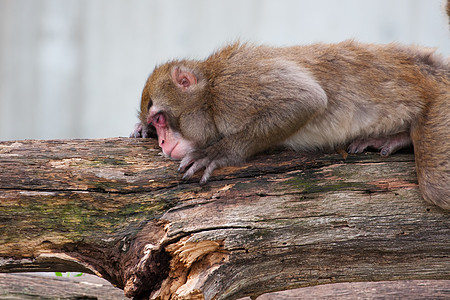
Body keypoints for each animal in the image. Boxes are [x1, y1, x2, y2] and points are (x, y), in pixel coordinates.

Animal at [130, 40, 450, 211]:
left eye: (160, 118)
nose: (161, 141)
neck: (210, 96)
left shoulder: (236, 84)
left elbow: (306, 99)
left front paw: (220, 152)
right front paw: (141, 131)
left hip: (442, 101)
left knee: (437, 189)